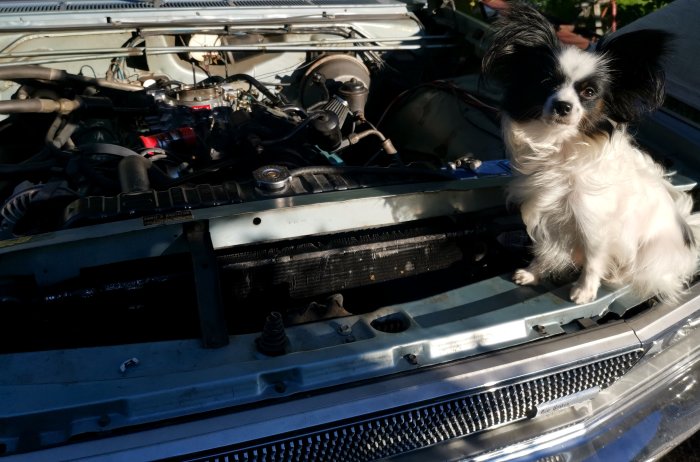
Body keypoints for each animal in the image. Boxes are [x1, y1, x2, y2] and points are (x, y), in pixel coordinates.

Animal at [484, 4, 696, 306]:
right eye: (546, 83)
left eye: (589, 92)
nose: (562, 106)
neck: (561, 147)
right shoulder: (549, 215)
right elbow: (545, 248)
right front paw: (534, 272)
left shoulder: (594, 223)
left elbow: (594, 258)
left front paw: (585, 290)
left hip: (651, 252)